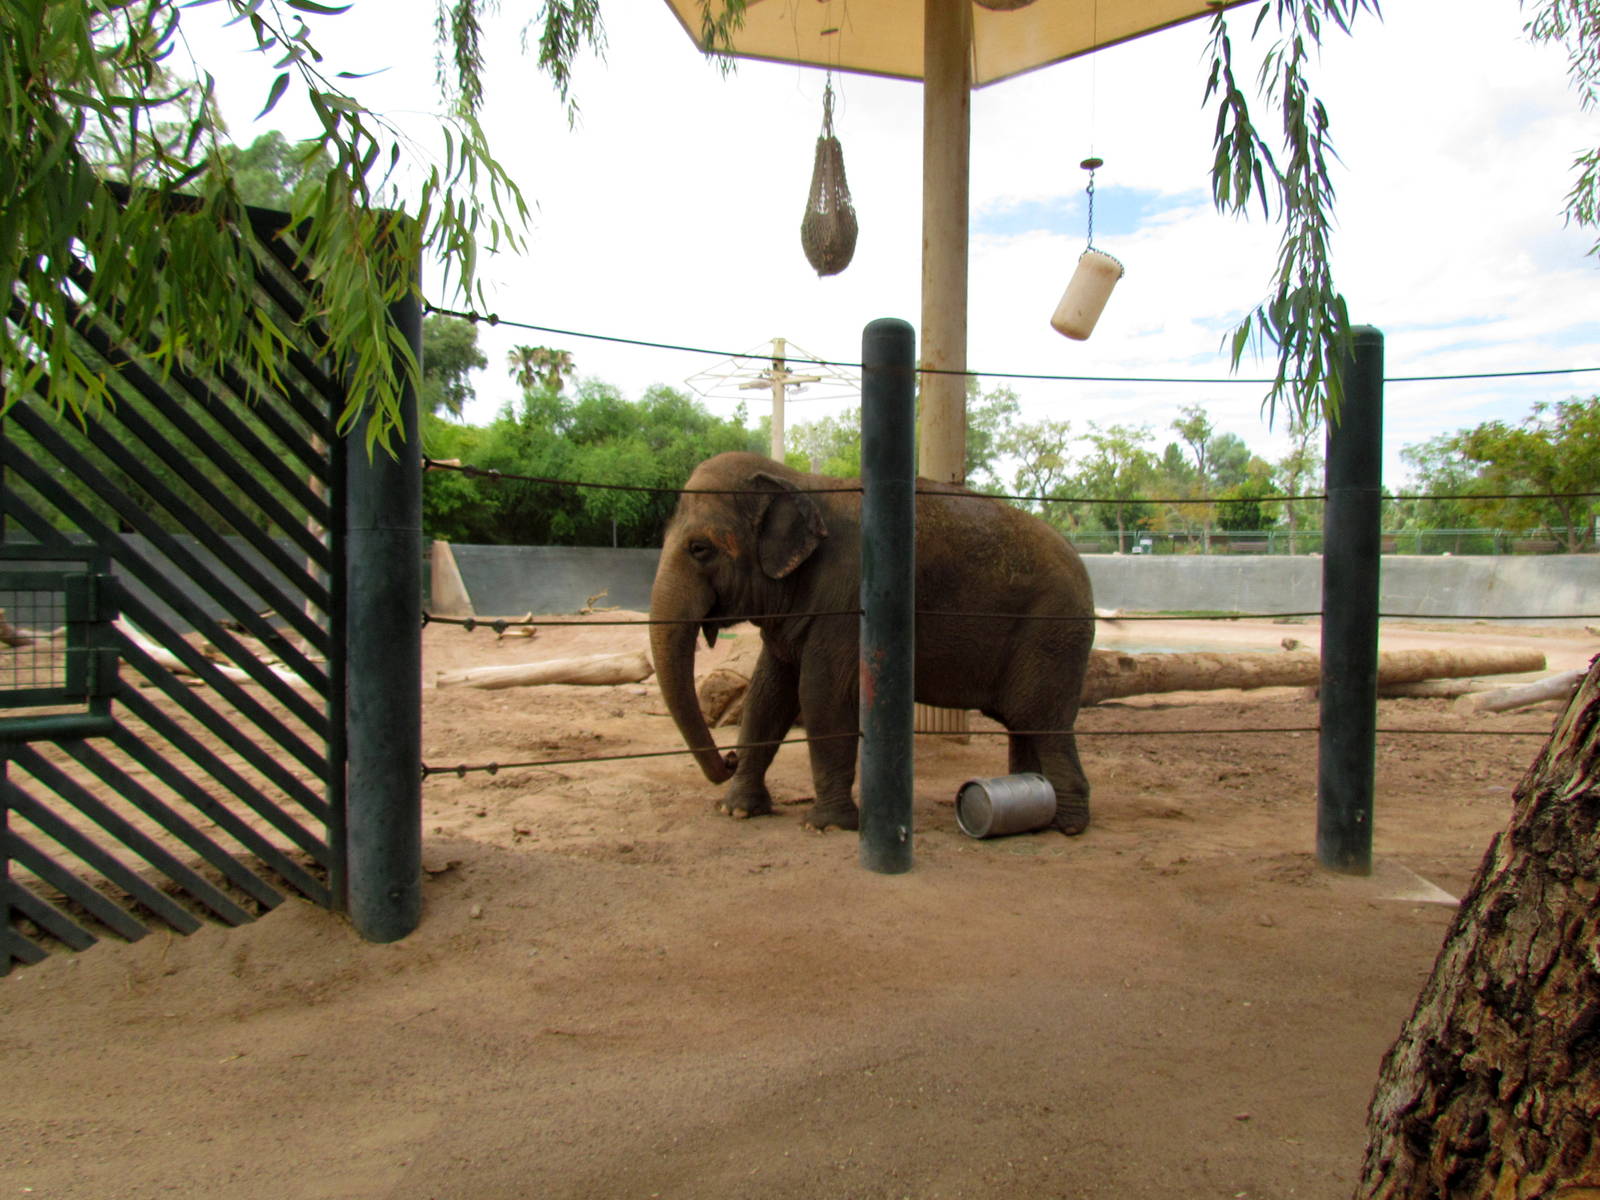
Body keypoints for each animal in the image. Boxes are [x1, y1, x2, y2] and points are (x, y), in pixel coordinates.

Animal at [649, 451, 1095, 835]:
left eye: (699, 549)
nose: (728, 757)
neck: (798, 481)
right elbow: (768, 694)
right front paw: (737, 810)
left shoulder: (849, 596)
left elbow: (821, 694)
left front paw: (825, 826)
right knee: (1024, 724)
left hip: (1052, 634)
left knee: (1043, 720)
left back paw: (1068, 825)